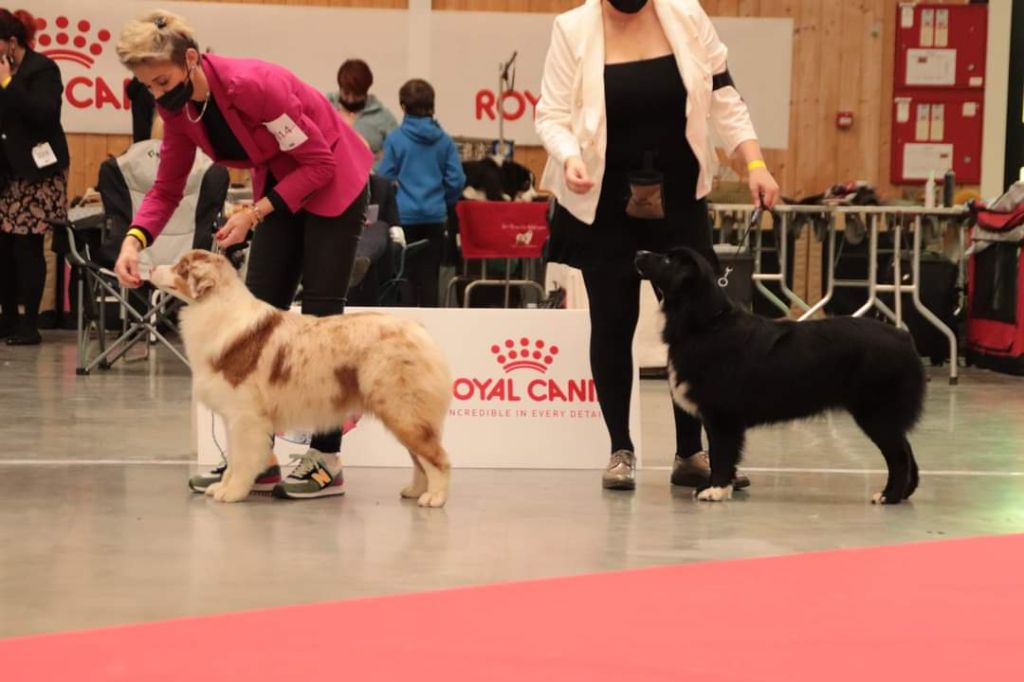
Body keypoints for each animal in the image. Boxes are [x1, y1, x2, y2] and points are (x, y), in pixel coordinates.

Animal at [150, 250, 452, 507]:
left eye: (181, 268)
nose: (151, 267)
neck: (215, 309)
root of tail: (419, 332)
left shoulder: (245, 417)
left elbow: (242, 458)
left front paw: (233, 492)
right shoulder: (233, 416)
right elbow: (234, 457)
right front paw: (222, 485)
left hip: (403, 411)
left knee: (436, 457)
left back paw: (434, 497)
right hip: (404, 414)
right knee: (420, 458)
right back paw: (415, 491)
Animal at [635, 247, 926, 504]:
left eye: (668, 260)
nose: (638, 253)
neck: (707, 324)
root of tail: (904, 337)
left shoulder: (722, 415)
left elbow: (721, 453)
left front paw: (715, 490)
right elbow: (722, 454)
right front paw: (716, 487)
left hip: (876, 413)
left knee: (899, 456)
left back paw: (889, 496)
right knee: (908, 452)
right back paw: (905, 493)